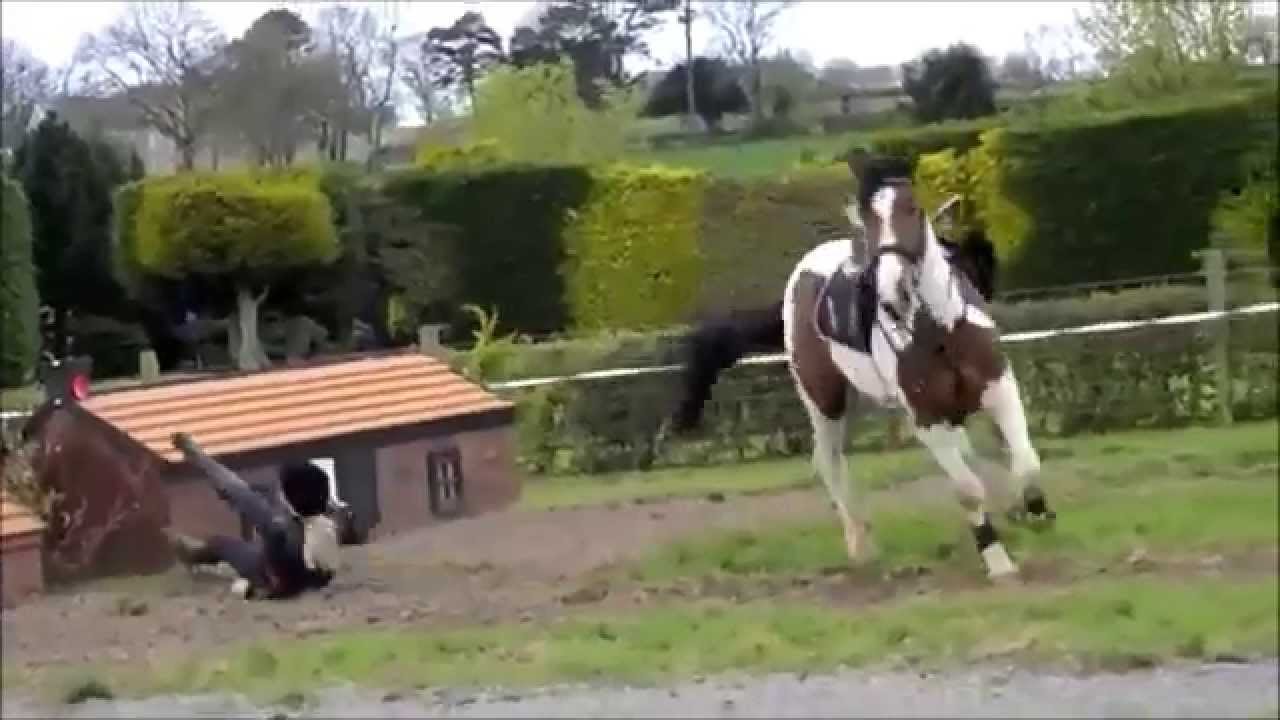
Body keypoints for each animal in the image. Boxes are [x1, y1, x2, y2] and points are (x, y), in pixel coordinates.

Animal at [672, 151, 1054, 581]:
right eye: (868, 217)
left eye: (912, 208)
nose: (893, 291)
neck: (940, 334)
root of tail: (800, 278)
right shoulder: (927, 419)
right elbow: (968, 489)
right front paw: (999, 561)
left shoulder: (998, 388)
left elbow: (1025, 462)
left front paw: (1035, 512)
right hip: (825, 400)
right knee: (829, 462)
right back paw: (860, 545)